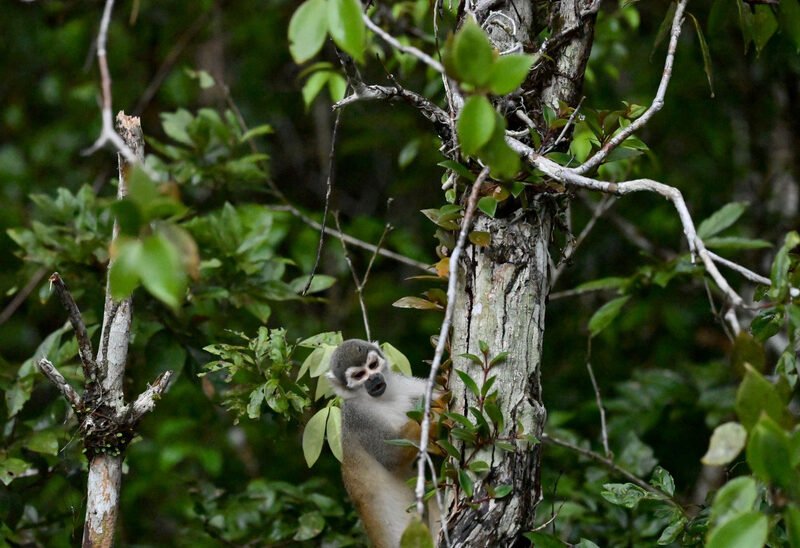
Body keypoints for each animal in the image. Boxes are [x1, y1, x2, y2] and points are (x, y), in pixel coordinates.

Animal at [327, 339, 441, 548]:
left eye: (372, 366)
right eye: (359, 375)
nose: (374, 378)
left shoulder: (404, 383)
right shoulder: (356, 416)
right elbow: (392, 456)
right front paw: (437, 413)